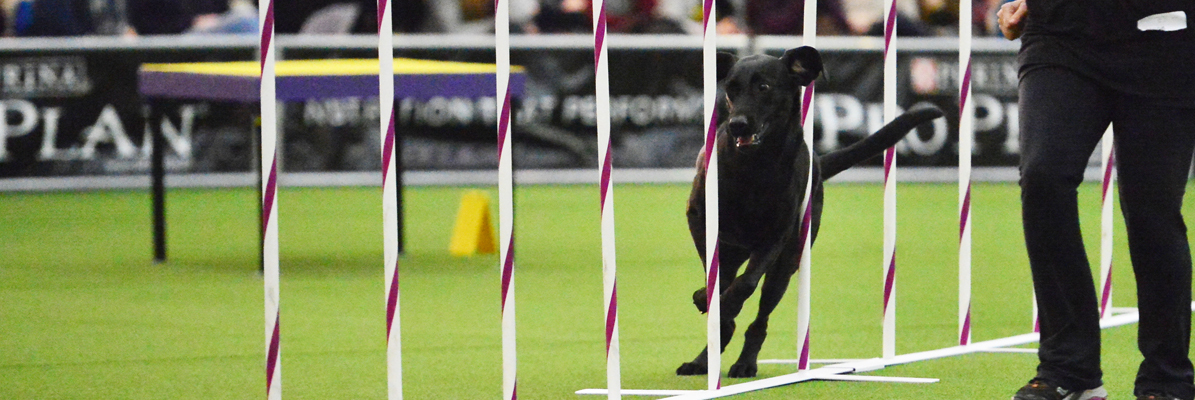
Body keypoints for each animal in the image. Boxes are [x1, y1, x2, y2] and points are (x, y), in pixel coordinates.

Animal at [678, 47, 946, 379]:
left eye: (764, 87)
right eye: (730, 89)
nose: (737, 123)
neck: (754, 166)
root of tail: (819, 161)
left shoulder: (776, 237)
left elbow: (745, 283)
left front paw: (722, 306)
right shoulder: (700, 220)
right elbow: (717, 276)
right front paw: (709, 302)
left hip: (787, 264)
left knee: (761, 317)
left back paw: (745, 362)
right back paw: (702, 360)